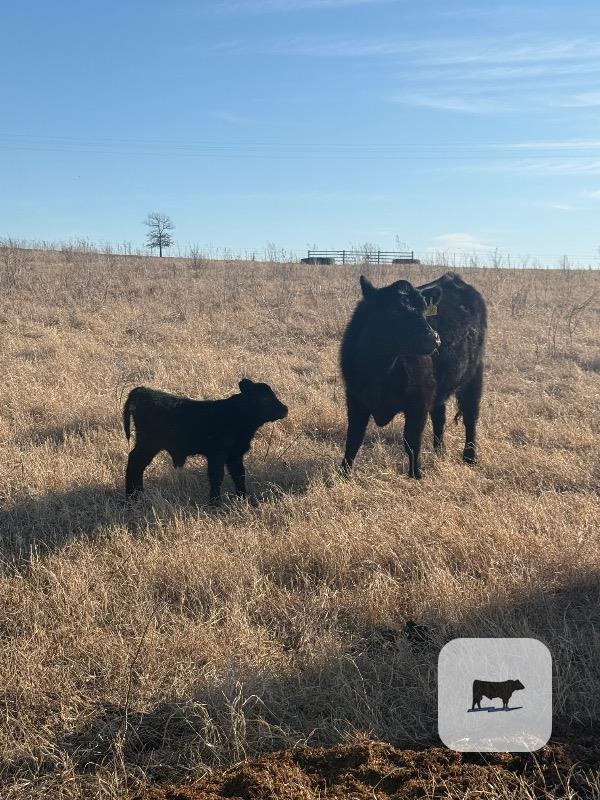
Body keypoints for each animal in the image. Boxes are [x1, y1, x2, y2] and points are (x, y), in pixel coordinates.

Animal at [123, 379, 288, 504]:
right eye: (265, 398)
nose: (285, 409)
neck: (237, 415)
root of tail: (143, 391)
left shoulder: (235, 455)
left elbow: (239, 475)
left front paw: (244, 499)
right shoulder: (217, 454)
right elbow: (217, 476)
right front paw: (215, 503)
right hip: (148, 443)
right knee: (135, 462)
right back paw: (132, 497)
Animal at [340, 272, 486, 479]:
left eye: (425, 311)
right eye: (393, 311)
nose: (435, 338)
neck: (381, 369)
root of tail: (453, 278)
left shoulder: (419, 402)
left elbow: (411, 440)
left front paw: (415, 474)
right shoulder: (355, 398)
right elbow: (353, 438)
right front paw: (343, 473)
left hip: (474, 375)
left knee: (471, 417)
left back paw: (470, 457)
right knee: (440, 418)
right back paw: (440, 452)